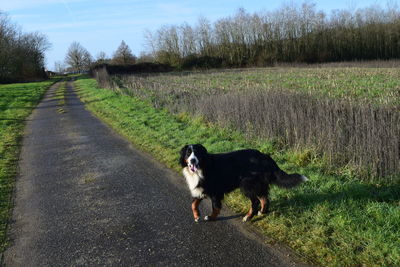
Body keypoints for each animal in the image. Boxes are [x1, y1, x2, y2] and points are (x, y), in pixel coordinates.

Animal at [180, 146, 308, 223]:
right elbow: (193, 204)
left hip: (247, 185)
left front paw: (211, 217)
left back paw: (248, 217)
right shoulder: (201, 189)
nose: (192, 160)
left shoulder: (215, 192)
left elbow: (215, 207)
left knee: (255, 202)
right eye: (188, 154)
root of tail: (265, 156)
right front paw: (196, 216)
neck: (202, 167)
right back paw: (262, 212)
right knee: (264, 199)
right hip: (258, 185)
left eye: (197, 154)